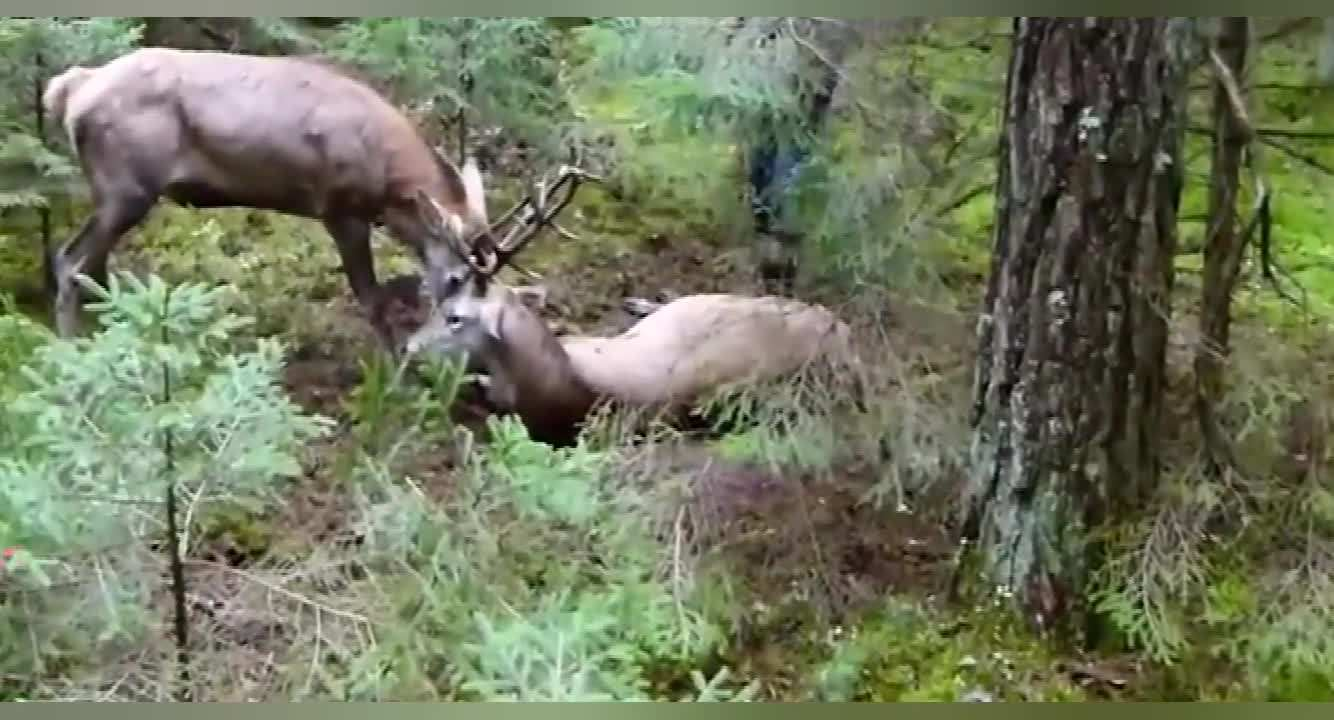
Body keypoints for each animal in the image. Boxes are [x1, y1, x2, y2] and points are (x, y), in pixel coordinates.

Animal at [45, 45, 496, 349]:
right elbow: (371, 300)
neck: (387, 188)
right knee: (71, 262)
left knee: (92, 267)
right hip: (126, 188)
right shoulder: (340, 209)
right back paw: (71, 351)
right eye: (456, 278)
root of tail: (70, 89)